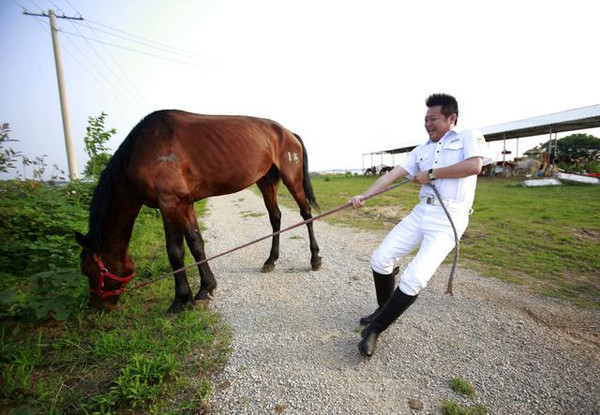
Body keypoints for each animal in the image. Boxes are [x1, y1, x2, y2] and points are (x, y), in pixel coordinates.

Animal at [76, 109, 324, 312]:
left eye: (87, 270)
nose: (97, 306)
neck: (141, 150)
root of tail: (289, 133)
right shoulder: (185, 204)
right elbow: (196, 244)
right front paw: (205, 290)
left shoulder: (170, 203)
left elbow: (175, 251)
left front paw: (179, 300)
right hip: (267, 181)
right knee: (275, 218)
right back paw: (270, 261)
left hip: (292, 177)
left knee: (306, 214)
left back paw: (314, 259)